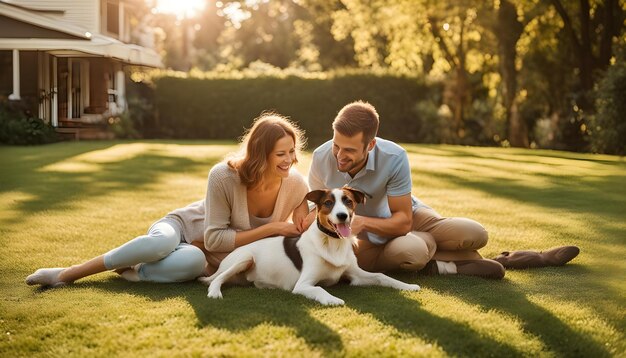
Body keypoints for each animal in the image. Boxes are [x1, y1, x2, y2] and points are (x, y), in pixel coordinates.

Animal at [197, 186, 416, 306]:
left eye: (348, 201)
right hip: (243, 259)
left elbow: (381, 276)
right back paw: (214, 292)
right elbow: (319, 289)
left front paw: (407, 285)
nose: (342, 216)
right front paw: (332, 299)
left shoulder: (356, 275)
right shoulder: (303, 284)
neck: (333, 242)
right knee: (216, 280)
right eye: (328, 203)